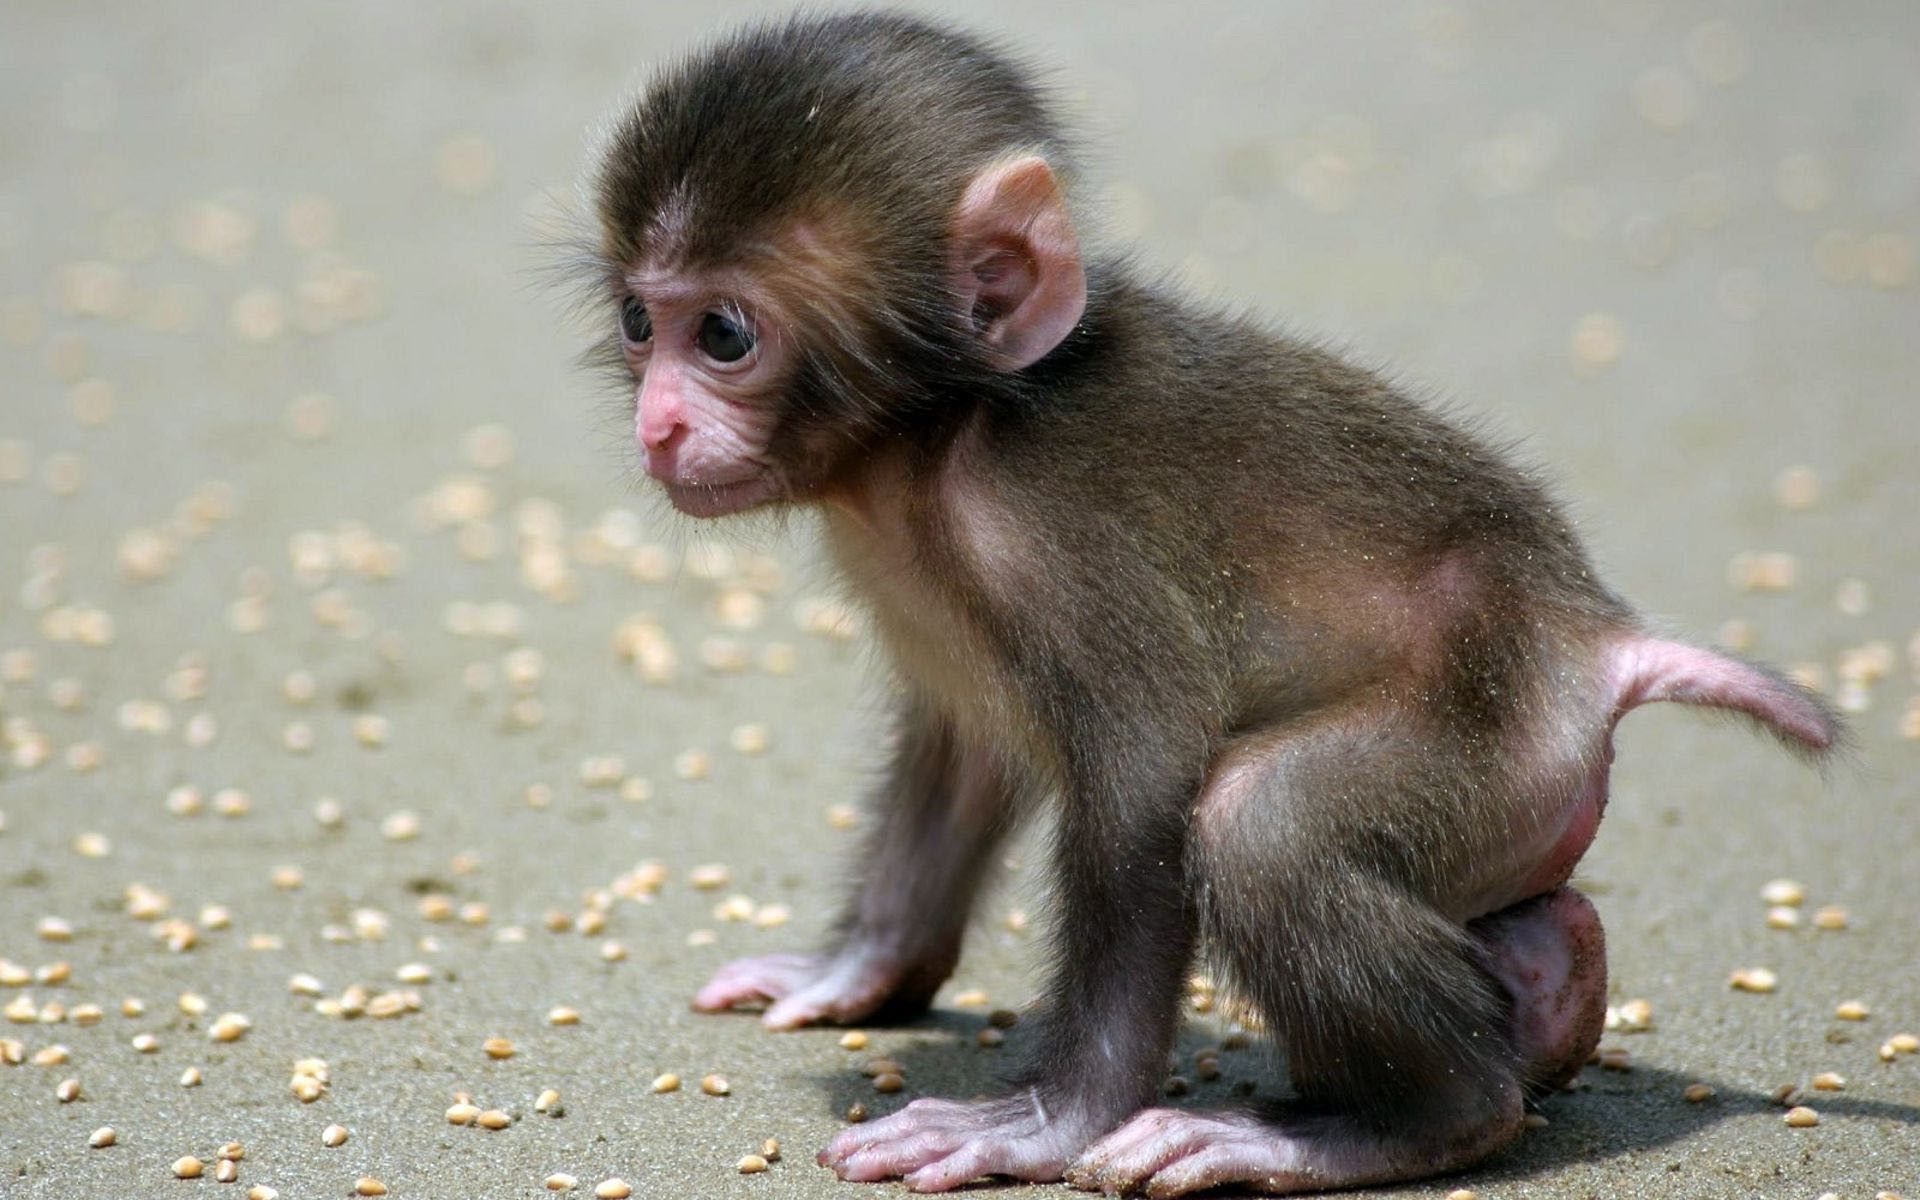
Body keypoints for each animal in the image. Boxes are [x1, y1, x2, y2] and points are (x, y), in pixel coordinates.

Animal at [579, 12, 1841, 1196]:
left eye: (724, 334)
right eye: (642, 322)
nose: (659, 425)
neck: (938, 435)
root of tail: (1594, 639)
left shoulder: (1049, 539)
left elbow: (1145, 778)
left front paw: (1050, 1123)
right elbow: (968, 751)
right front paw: (858, 971)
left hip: (1499, 737)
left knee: (1260, 824)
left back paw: (1400, 1125)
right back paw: (1551, 989)